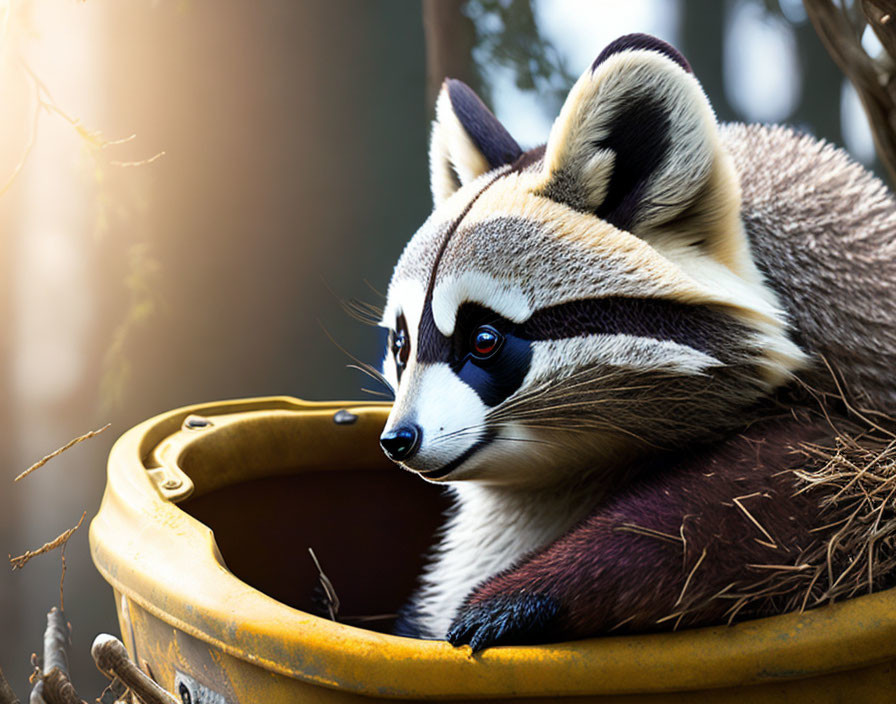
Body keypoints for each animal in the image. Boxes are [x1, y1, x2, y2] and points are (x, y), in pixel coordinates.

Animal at [374, 33, 896, 648]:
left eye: (484, 340)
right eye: (402, 346)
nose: (398, 439)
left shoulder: (849, 401)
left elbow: (787, 500)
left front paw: (537, 588)